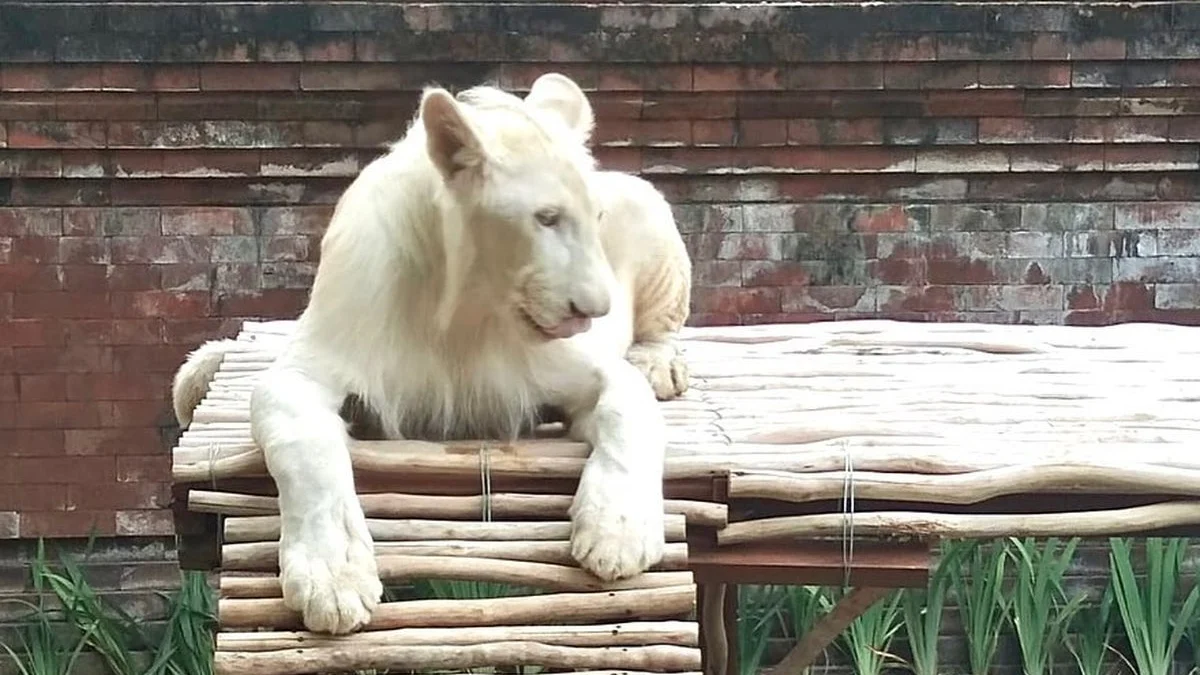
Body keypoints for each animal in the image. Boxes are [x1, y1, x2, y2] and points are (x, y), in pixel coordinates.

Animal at [172, 74, 691, 634]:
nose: (594, 310)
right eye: (546, 218)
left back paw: (659, 365)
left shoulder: (579, 369)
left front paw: (618, 534)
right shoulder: (306, 368)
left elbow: (630, 410)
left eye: (595, 218)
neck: (464, 308)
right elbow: (308, 449)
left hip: (652, 215)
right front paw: (333, 577)